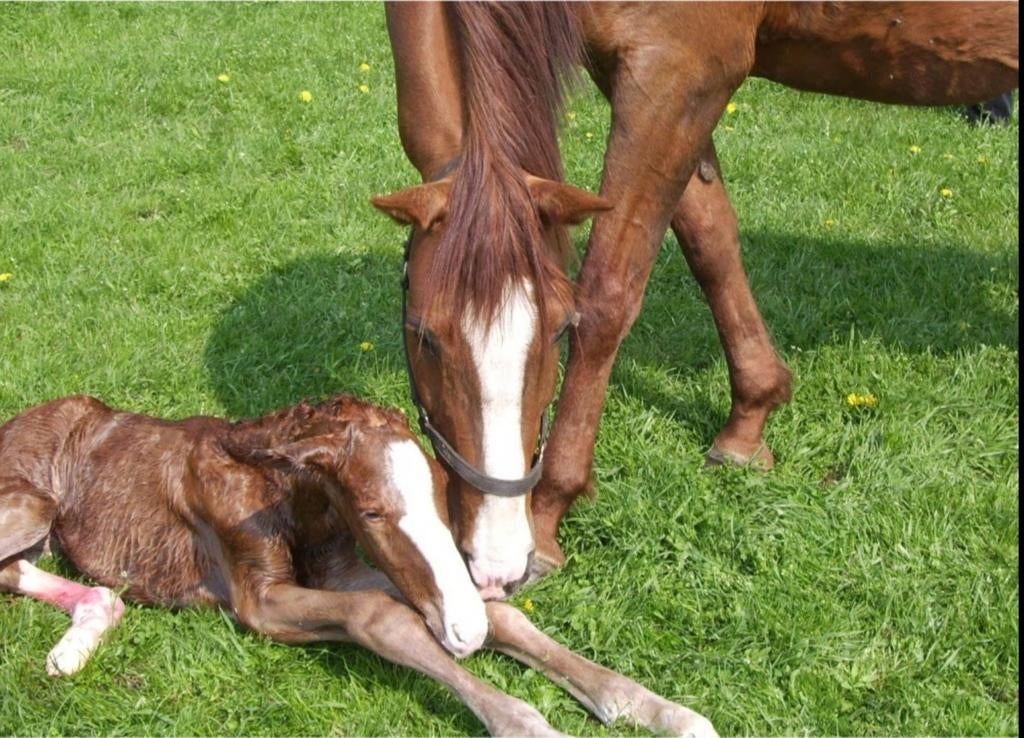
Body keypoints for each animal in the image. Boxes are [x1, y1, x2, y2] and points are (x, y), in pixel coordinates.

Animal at [0, 394, 717, 737]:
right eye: (372, 511)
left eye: (440, 494)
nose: (464, 634)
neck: (285, 492)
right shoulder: (259, 599)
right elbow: (383, 619)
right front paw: (528, 724)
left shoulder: (347, 569)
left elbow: (505, 617)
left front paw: (657, 710)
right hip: (31, 504)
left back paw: (77, 644)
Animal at [373, 2, 1018, 595]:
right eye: (423, 335)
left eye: (557, 329)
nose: (496, 561)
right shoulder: (654, 76)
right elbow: (709, 239)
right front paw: (749, 421)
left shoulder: (679, 66)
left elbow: (608, 293)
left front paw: (552, 510)